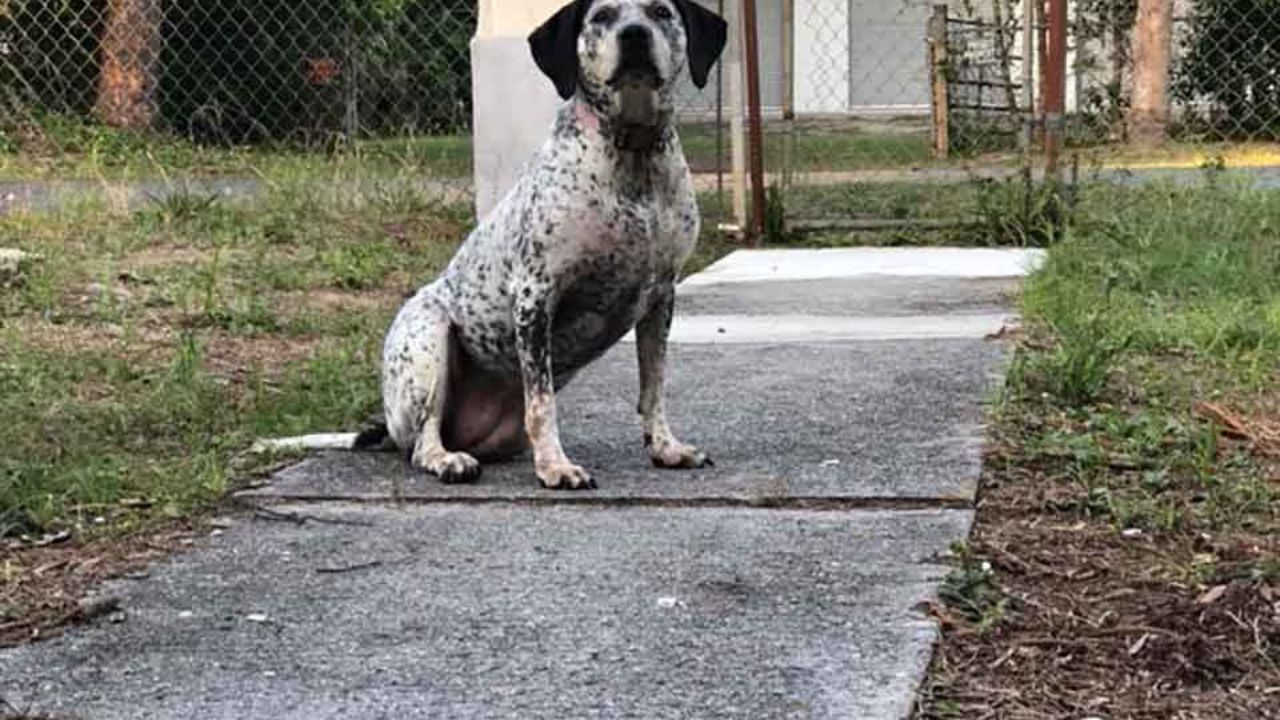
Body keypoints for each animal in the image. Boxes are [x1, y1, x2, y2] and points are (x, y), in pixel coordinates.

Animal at [270, 0, 727, 486]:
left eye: (661, 12)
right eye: (602, 16)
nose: (635, 35)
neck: (631, 155)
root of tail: (390, 429)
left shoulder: (660, 297)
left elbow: (653, 387)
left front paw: (665, 448)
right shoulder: (535, 295)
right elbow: (542, 403)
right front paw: (556, 467)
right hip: (428, 345)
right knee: (422, 442)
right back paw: (447, 459)